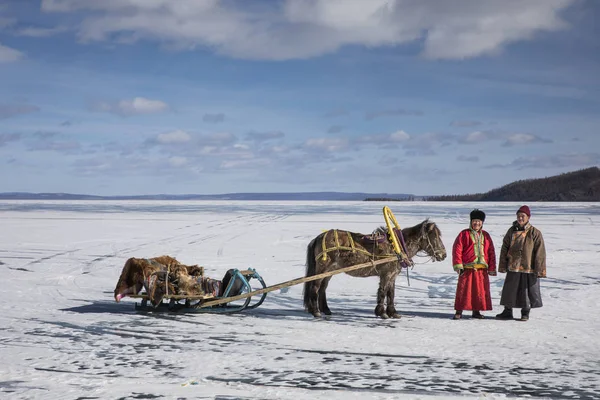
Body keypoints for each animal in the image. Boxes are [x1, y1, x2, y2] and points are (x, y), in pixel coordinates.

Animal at [304, 219, 446, 318]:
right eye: (434, 237)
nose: (443, 255)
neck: (397, 246)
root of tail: (319, 237)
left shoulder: (393, 275)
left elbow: (391, 293)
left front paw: (393, 313)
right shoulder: (386, 274)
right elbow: (383, 292)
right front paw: (382, 313)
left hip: (329, 271)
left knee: (322, 288)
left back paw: (326, 310)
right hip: (322, 268)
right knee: (315, 287)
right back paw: (315, 311)